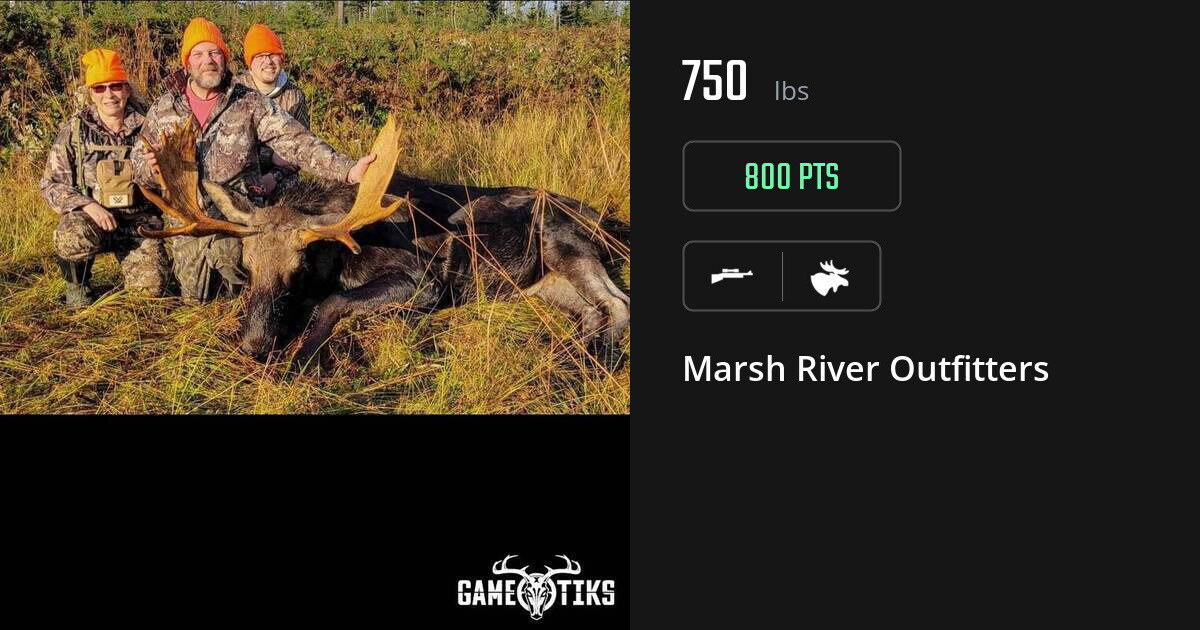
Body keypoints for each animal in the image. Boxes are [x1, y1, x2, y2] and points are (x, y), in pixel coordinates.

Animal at [136, 115, 630, 373]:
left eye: (298, 267)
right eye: (249, 267)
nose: (255, 345)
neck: (336, 258)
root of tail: (606, 219)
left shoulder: (424, 280)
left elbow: (333, 301)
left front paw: (303, 358)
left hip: (566, 243)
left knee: (617, 303)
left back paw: (596, 363)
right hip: (543, 283)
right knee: (592, 311)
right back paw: (575, 356)